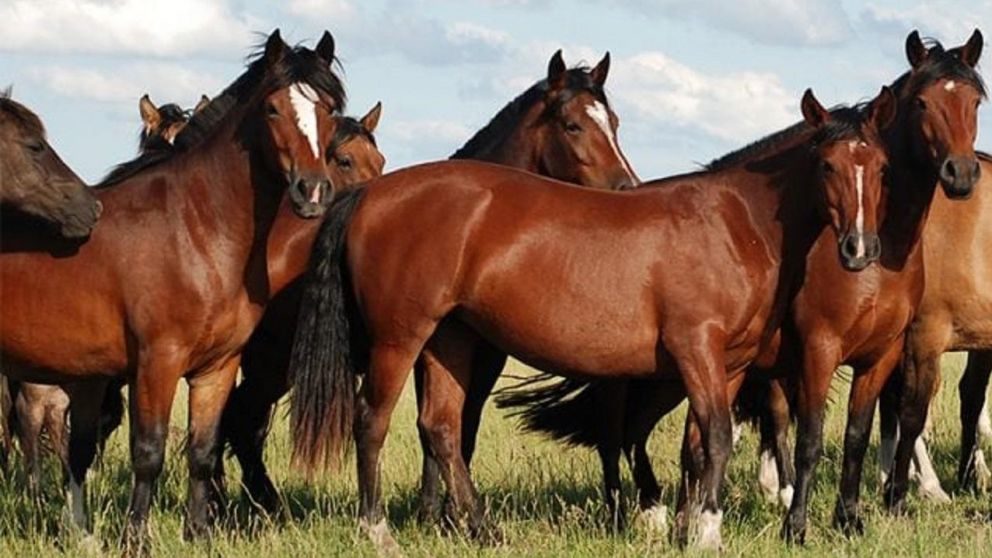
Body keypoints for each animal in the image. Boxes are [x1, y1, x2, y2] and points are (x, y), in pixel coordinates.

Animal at [286, 86, 895, 551]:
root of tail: (369, 194)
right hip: (400, 337)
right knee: (372, 420)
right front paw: (707, 536)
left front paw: (688, 529)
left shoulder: (732, 365)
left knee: (441, 426)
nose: (860, 249)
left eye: (881, 167)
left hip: (449, 339)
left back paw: (483, 529)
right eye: (828, 164)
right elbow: (719, 438)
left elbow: (700, 446)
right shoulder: (696, 348)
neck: (733, 223)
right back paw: (378, 531)